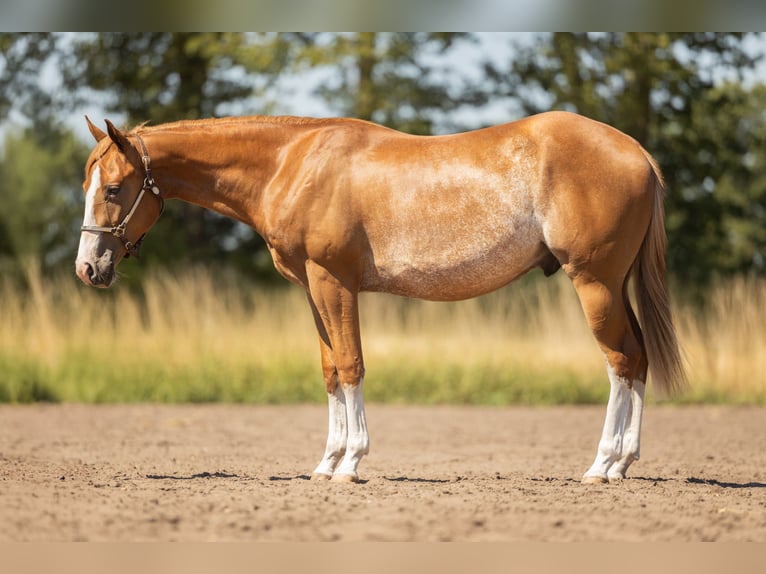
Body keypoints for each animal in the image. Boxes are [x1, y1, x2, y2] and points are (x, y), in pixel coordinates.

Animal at [75, 111, 686, 484]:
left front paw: (350, 462)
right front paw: (326, 462)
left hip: (594, 283)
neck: (291, 163)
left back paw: (603, 464)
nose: (88, 268)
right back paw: (623, 463)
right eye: (88, 186)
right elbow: (329, 371)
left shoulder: (334, 283)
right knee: (637, 360)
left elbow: (351, 365)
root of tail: (637, 152)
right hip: (613, 285)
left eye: (114, 188)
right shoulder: (312, 291)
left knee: (620, 361)